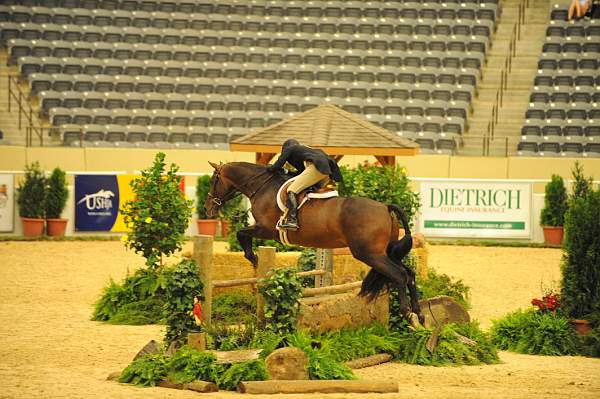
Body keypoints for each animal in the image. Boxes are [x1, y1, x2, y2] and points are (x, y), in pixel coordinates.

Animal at [204, 161, 424, 326]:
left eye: (214, 180)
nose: (207, 209)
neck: (262, 186)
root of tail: (386, 207)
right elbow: (243, 234)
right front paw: (255, 260)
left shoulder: (266, 229)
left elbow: (241, 234)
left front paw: (255, 259)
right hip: (385, 253)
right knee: (410, 274)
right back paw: (420, 315)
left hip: (370, 254)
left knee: (400, 275)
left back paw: (408, 314)